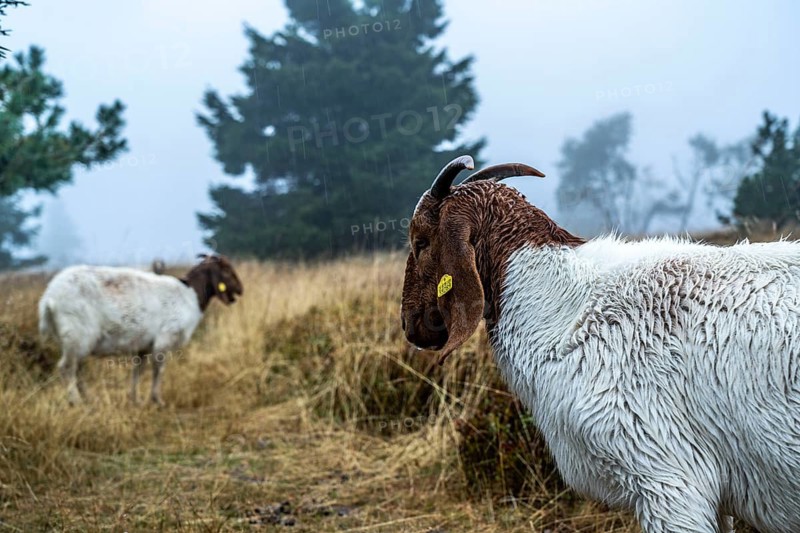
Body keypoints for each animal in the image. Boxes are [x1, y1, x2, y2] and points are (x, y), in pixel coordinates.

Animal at [39, 254, 243, 406]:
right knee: (67, 368)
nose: (240, 290)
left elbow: (138, 370)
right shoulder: (164, 339)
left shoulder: (143, 345)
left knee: (77, 369)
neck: (190, 294)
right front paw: (158, 401)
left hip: (74, 339)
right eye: (226, 270)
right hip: (77, 334)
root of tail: (49, 299)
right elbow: (158, 370)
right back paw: (77, 402)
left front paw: (135, 400)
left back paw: (88, 399)